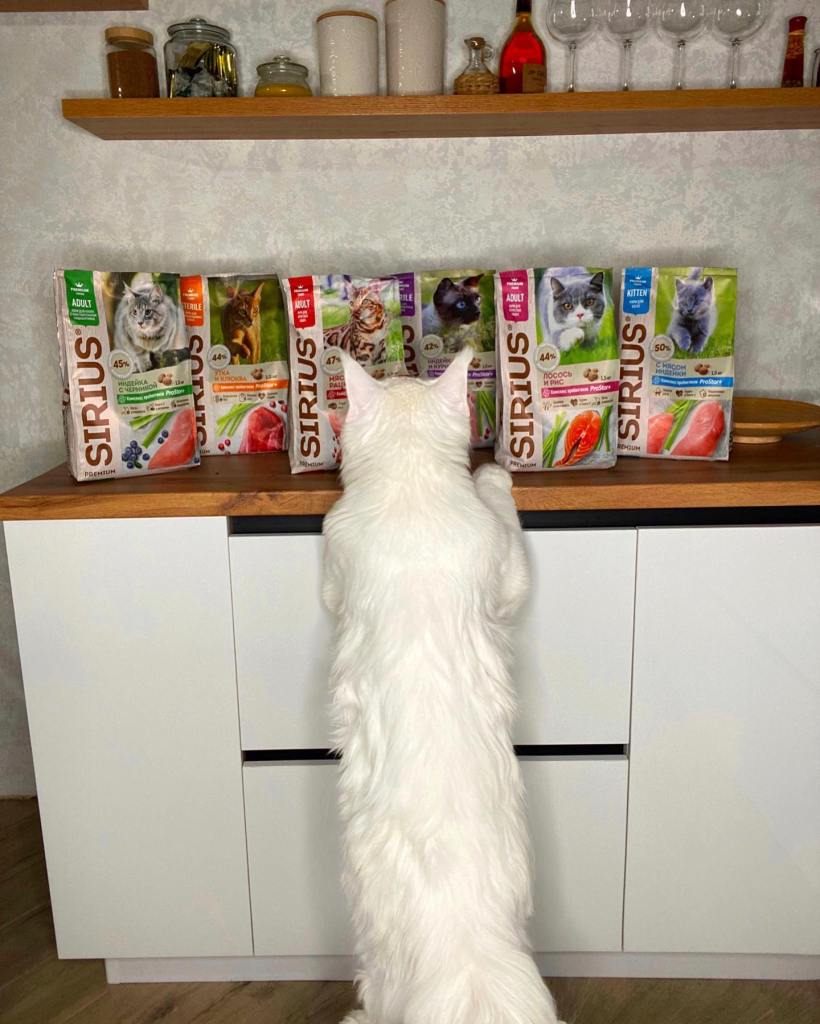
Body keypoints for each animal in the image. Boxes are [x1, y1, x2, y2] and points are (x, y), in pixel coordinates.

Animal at [323, 346, 560, 1024]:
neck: (412, 487)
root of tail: (468, 957)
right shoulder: (508, 577)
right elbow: (501, 508)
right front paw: (495, 474)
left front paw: (493, 473)